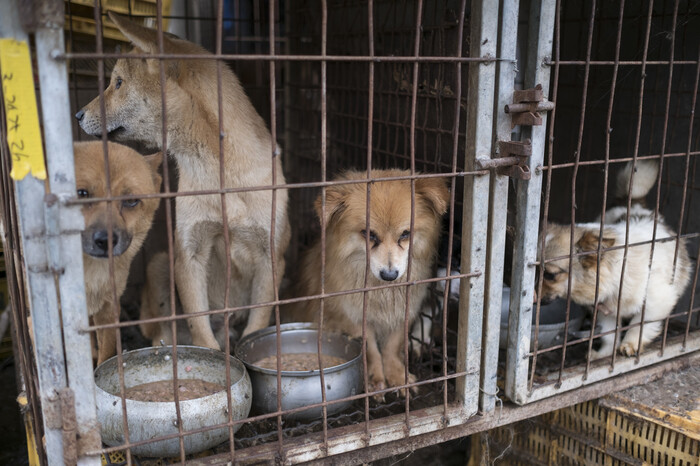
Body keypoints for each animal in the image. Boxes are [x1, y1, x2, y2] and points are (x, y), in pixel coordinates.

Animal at [288, 169, 448, 396]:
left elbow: (392, 346)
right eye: (369, 234)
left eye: (405, 234)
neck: (380, 292)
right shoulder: (353, 317)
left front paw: (397, 376)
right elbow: (370, 349)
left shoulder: (403, 312)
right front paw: (375, 379)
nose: (389, 275)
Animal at [540, 158, 692, 358]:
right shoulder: (606, 311)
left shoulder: (657, 301)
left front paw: (630, 344)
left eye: (550, 275)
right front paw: (604, 354)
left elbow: (639, 325)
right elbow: (609, 335)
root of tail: (633, 202)